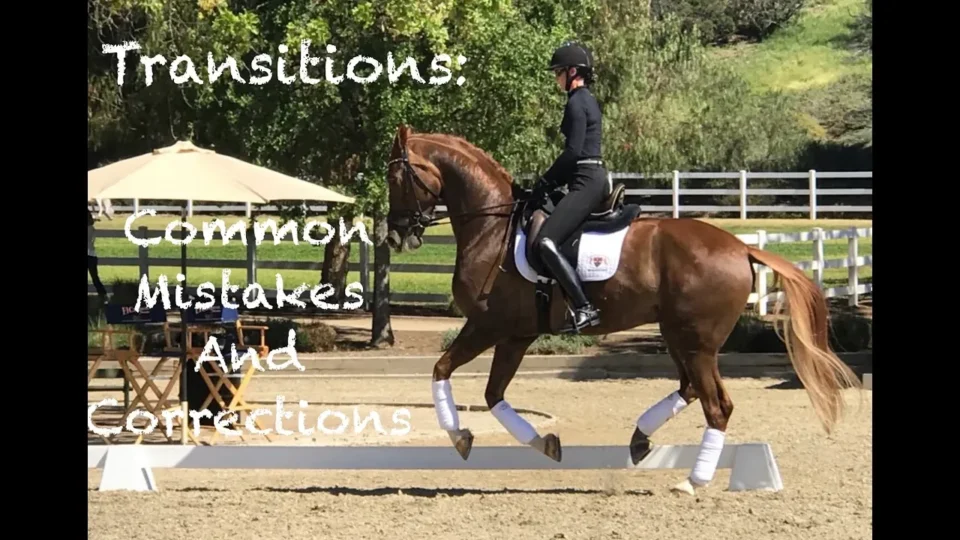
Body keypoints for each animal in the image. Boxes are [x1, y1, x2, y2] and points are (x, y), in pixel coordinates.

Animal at [384, 124, 861, 495]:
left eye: (395, 177)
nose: (396, 236)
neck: (492, 227)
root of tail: (741, 246)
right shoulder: (516, 334)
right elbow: (492, 395)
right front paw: (545, 444)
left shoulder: (487, 324)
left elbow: (442, 369)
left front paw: (459, 436)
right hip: (678, 336)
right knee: (690, 390)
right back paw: (640, 440)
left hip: (697, 343)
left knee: (716, 405)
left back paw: (692, 480)